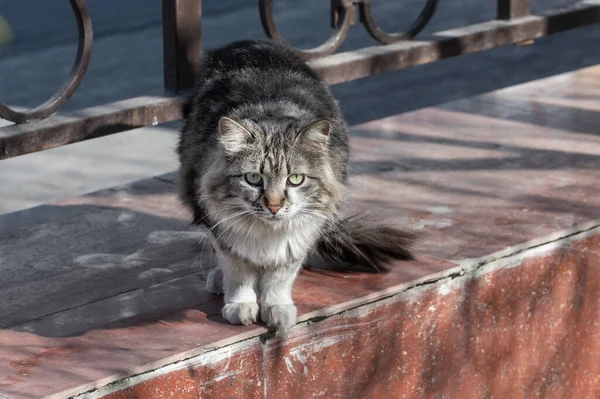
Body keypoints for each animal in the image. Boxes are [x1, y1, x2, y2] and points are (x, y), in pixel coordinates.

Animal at [177, 39, 412, 332]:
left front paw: (277, 309)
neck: (267, 232)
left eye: (296, 179)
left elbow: (279, 279)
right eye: (253, 178)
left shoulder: (298, 237)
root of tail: (247, 42)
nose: (274, 206)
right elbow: (238, 271)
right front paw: (240, 305)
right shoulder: (223, 227)